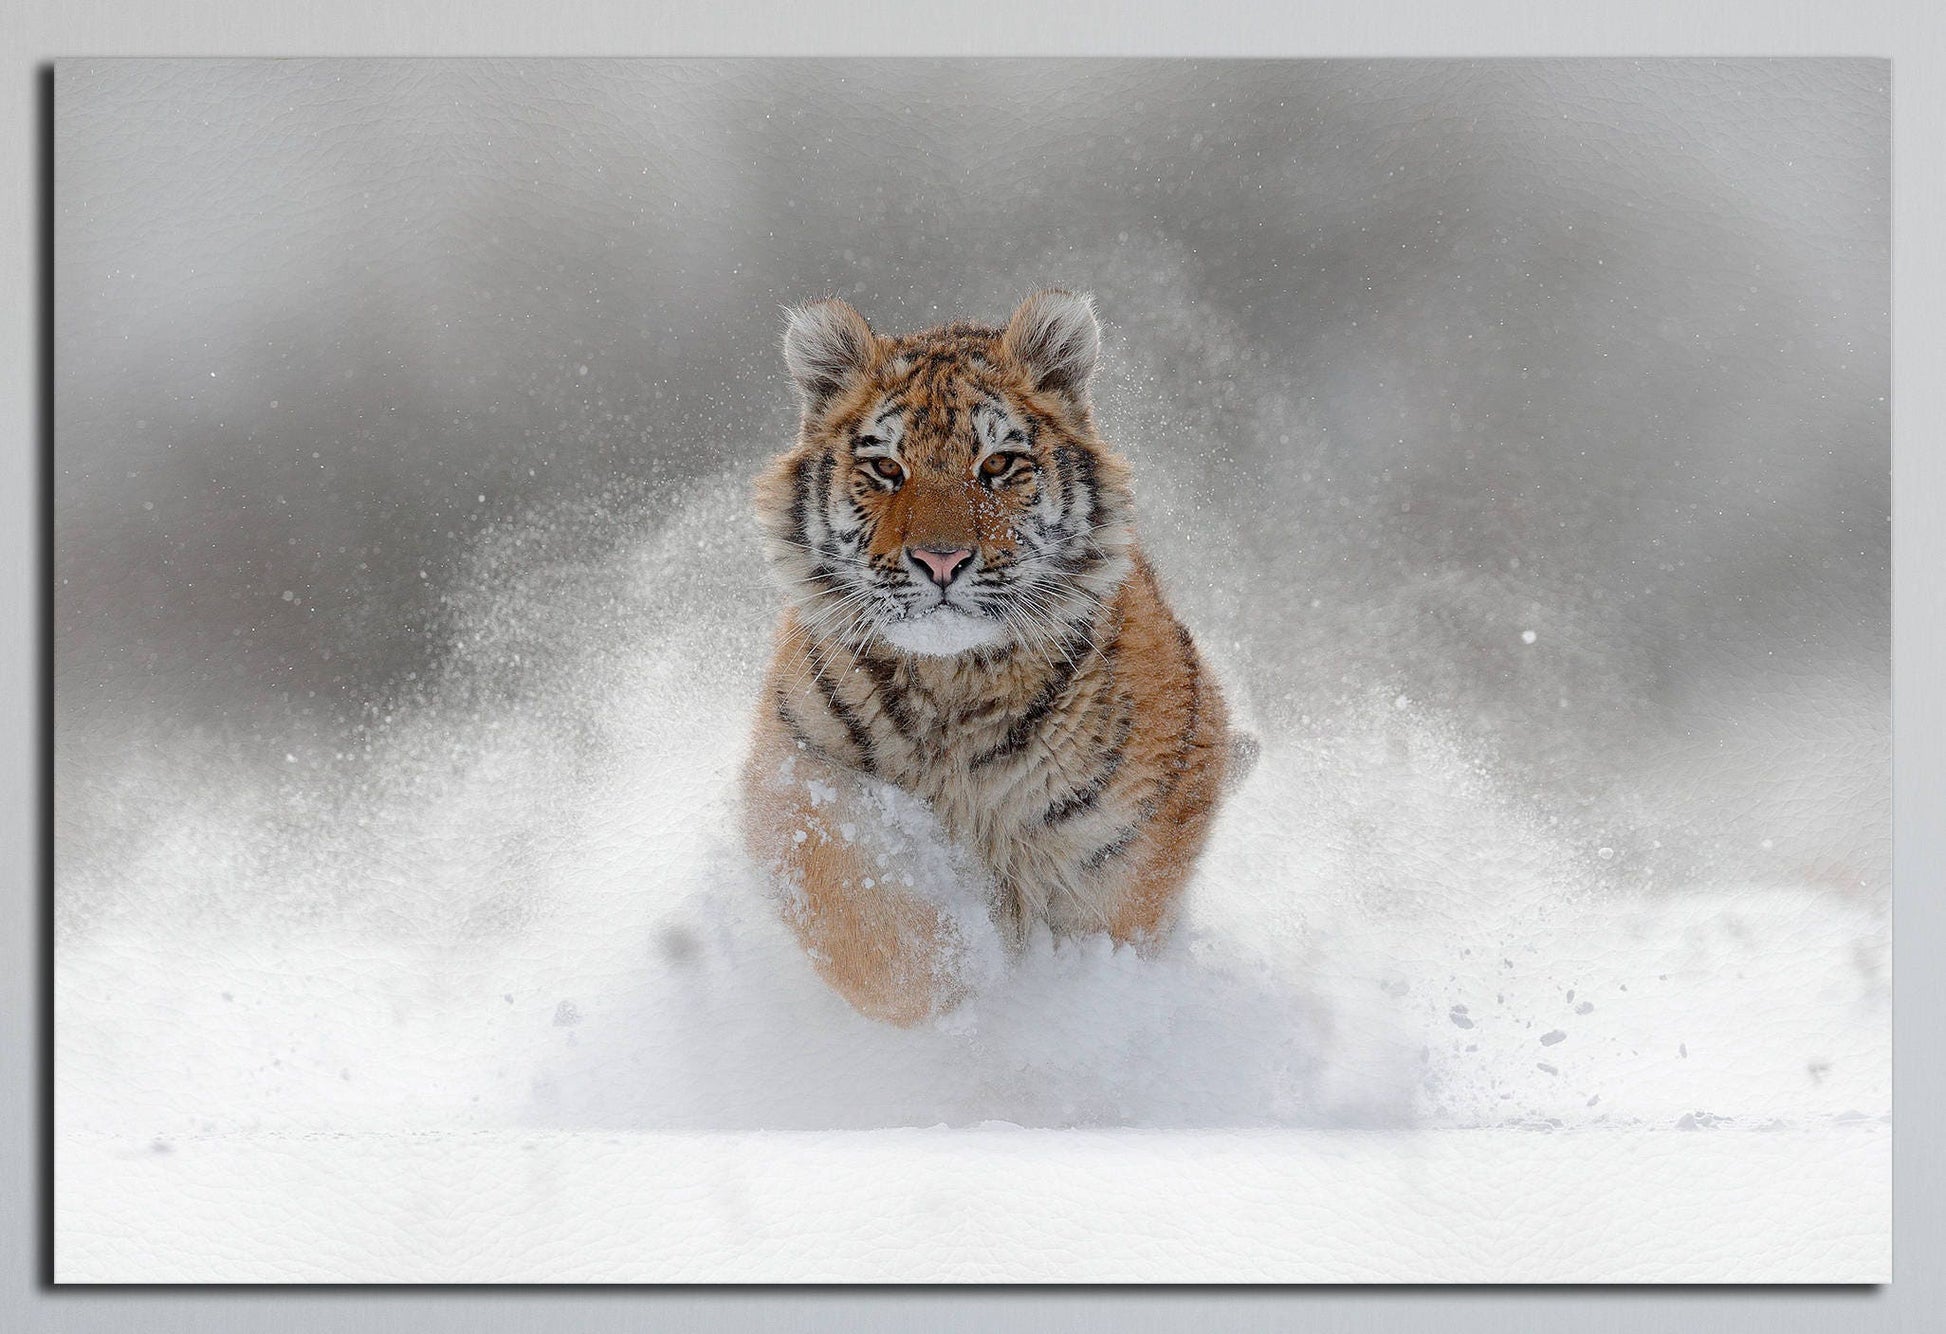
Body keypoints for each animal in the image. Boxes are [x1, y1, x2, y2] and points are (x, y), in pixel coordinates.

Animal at [742, 289, 1247, 1026]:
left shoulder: (1133, 837)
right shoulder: (795, 770)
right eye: (886, 469)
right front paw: (956, 985)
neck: (953, 685)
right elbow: (861, 915)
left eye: (999, 464)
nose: (940, 560)